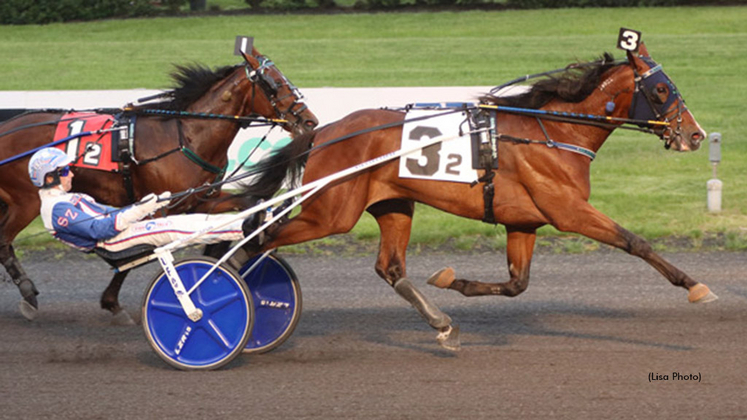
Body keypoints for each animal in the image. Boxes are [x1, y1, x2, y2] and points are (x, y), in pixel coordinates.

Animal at [0, 46, 318, 320]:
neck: (187, 134)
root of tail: (6, 128)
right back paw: (28, 293)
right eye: (275, 83)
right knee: (4, 241)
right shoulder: (163, 208)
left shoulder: (199, 199)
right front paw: (112, 302)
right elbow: (140, 253)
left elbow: (247, 202)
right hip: (26, 201)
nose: (310, 121)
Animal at [243, 44, 716, 350]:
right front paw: (696, 286)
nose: (695, 135)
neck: (555, 132)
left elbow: (517, 283)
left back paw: (442, 324)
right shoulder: (569, 211)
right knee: (257, 238)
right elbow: (635, 241)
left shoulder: (524, 221)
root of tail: (324, 131)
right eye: (661, 90)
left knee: (390, 267)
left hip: (392, 204)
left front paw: (453, 281)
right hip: (332, 212)